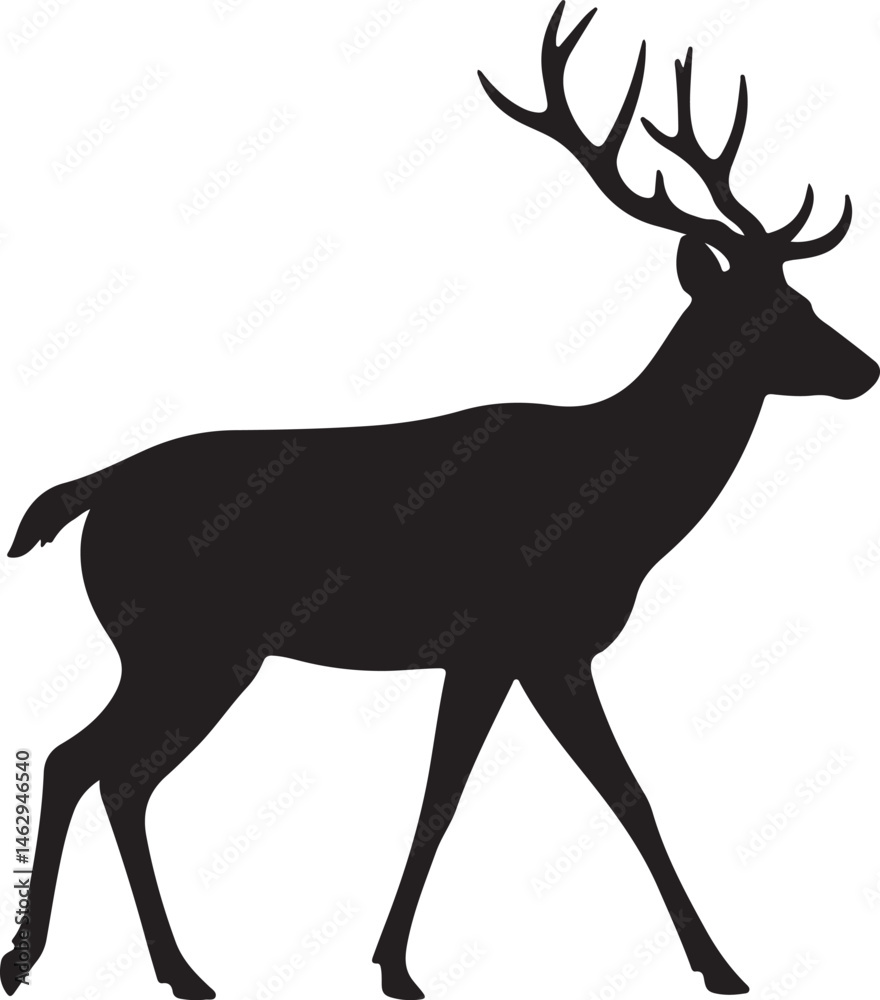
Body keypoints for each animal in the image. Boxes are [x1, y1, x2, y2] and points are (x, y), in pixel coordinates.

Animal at [2, 3, 877, 999]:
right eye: (770, 314)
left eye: (804, 297)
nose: (866, 368)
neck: (618, 509)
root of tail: (93, 491)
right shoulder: (525, 640)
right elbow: (579, 794)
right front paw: (717, 965)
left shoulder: (506, 654)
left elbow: (481, 794)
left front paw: (394, 962)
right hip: (185, 644)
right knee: (91, 763)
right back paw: (89, 962)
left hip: (181, 652)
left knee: (108, 771)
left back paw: (150, 967)